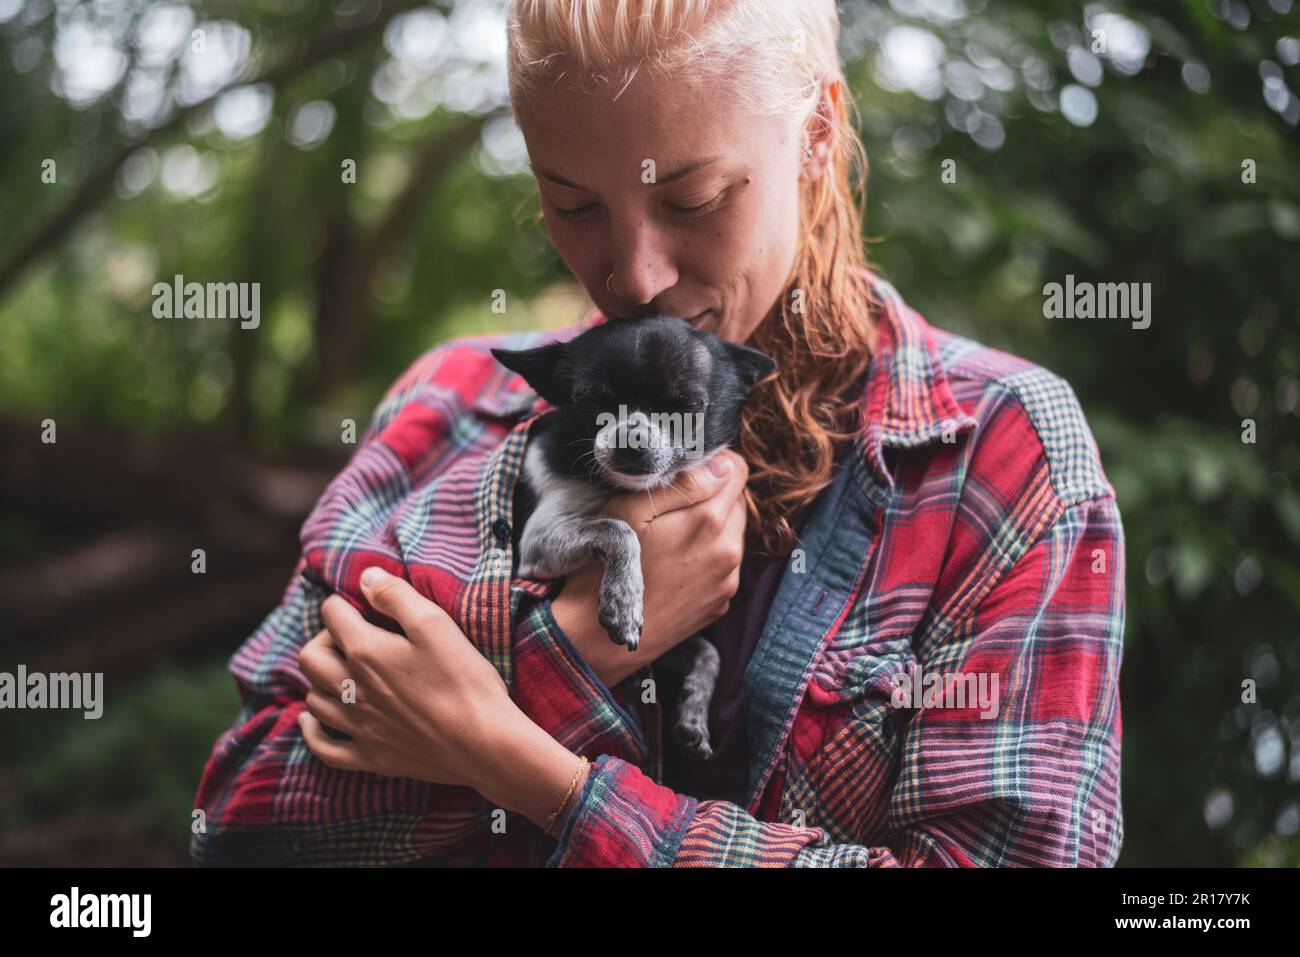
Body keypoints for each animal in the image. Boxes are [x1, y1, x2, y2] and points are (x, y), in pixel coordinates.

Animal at [488, 317, 769, 759]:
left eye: (686, 408)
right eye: (591, 402)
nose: (629, 438)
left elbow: (710, 652)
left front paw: (694, 712)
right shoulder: (536, 544)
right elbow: (620, 528)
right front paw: (624, 600)